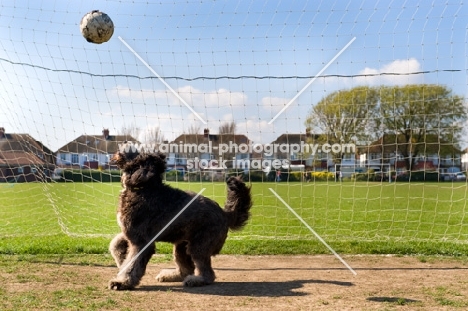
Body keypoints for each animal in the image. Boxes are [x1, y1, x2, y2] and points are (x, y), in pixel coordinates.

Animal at [108, 152, 252, 292]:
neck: (145, 188)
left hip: (199, 245)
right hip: (181, 246)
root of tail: (225, 214)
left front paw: (122, 282)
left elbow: (132, 264)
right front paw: (121, 259)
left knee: (207, 272)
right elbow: (115, 244)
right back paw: (169, 275)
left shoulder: (142, 242)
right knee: (186, 269)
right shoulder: (131, 234)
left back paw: (196, 280)